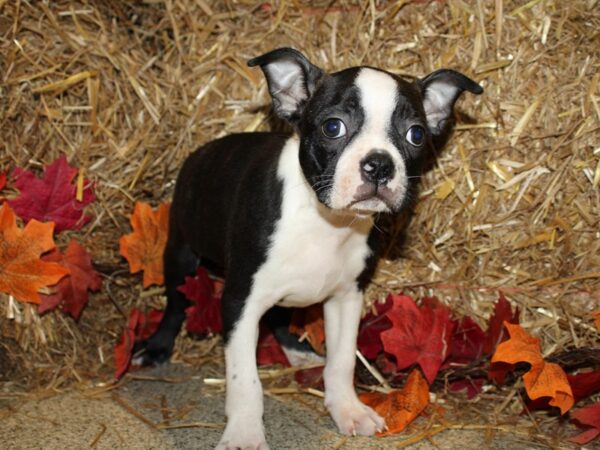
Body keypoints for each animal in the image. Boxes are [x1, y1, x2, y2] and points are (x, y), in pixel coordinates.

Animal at [136, 47, 482, 448]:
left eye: (416, 134)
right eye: (333, 127)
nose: (379, 164)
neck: (326, 222)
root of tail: (202, 151)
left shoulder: (347, 297)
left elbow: (342, 360)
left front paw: (347, 409)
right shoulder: (240, 301)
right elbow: (244, 379)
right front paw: (244, 433)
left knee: (279, 317)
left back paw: (298, 352)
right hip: (180, 251)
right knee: (176, 304)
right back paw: (157, 346)